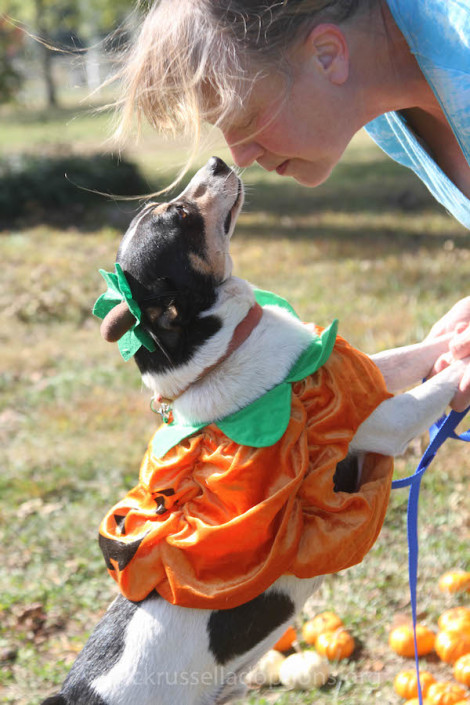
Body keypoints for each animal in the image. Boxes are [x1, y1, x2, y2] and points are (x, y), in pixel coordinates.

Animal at [42, 157, 468, 704]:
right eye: (180, 214)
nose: (218, 160)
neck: (222, 351)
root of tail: (76, 693)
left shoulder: (363, 376)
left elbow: (411, 354)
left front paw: (457, 331)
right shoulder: (386, 422)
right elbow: (439, 382)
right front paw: (463, 359)